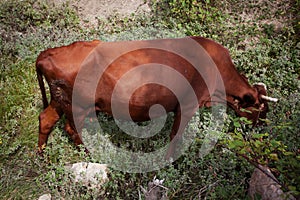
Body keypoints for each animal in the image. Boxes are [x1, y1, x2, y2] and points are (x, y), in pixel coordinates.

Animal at [36, 36, 278, 157]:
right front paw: (169, 162)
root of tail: (48, 53)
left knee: (46, 119)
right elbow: (175, 136)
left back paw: (41, 154)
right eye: (262, 109)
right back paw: (93, 158)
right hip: (76, 107)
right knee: (72, 130)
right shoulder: (187, 105)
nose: (263, 128)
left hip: (59, 102)